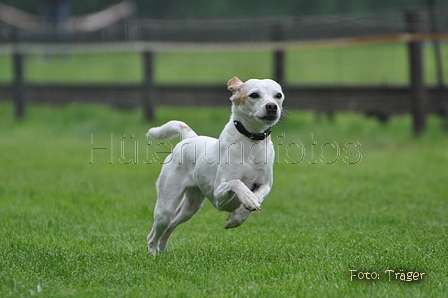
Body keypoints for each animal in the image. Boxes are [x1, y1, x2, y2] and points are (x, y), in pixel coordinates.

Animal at [149, 77, 286, 256]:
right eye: (254, 95)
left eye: (278, 95)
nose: (272, 106)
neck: (250, 142)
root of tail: (190, 138)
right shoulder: (218, 195)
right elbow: (236, 183)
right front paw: (247, 198)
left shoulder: (265, 184)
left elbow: (258, 196)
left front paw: (238, 216)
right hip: (165, 207)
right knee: (153, 234)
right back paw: (153, 254)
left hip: (191, 207)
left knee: (170, 227)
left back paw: (163, 250)